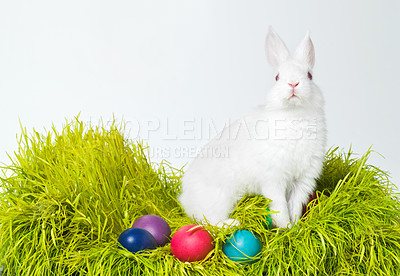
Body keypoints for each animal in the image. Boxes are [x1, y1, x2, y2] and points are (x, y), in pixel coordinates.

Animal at [180, 27, 326, 227]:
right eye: (277, 77)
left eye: (310, 75)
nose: (293, 83)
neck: (294, 114)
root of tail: (184, 198)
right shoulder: (273, 180)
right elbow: (280, 206)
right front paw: (285, 227)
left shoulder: (302, 180)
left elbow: (294, 206)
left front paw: (295, 228)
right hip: (220, 198)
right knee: (209, 222)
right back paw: (233, 223)